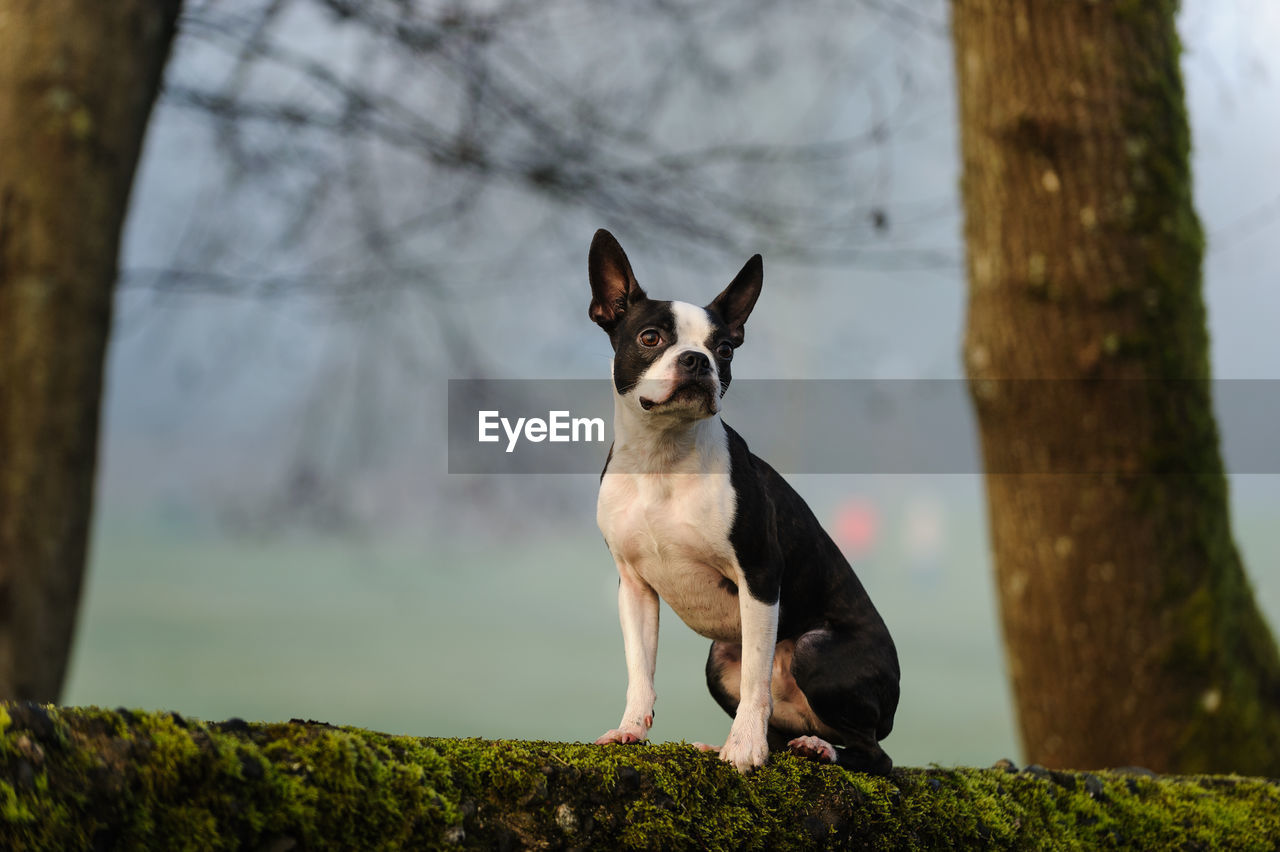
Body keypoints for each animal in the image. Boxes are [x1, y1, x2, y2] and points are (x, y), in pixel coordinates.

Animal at [588, 228, 901, 772]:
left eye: (725, 349)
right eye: (650, 338)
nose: (697, 359)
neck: (663, 456)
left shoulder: (759, 573)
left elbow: (757, 679)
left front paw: (745, 749)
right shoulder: (634, 587)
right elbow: (640, 670)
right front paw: (630, 729)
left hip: (816, 649)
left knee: (873, 752)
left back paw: (817, 747)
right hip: (718, 660)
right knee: (791, 722)